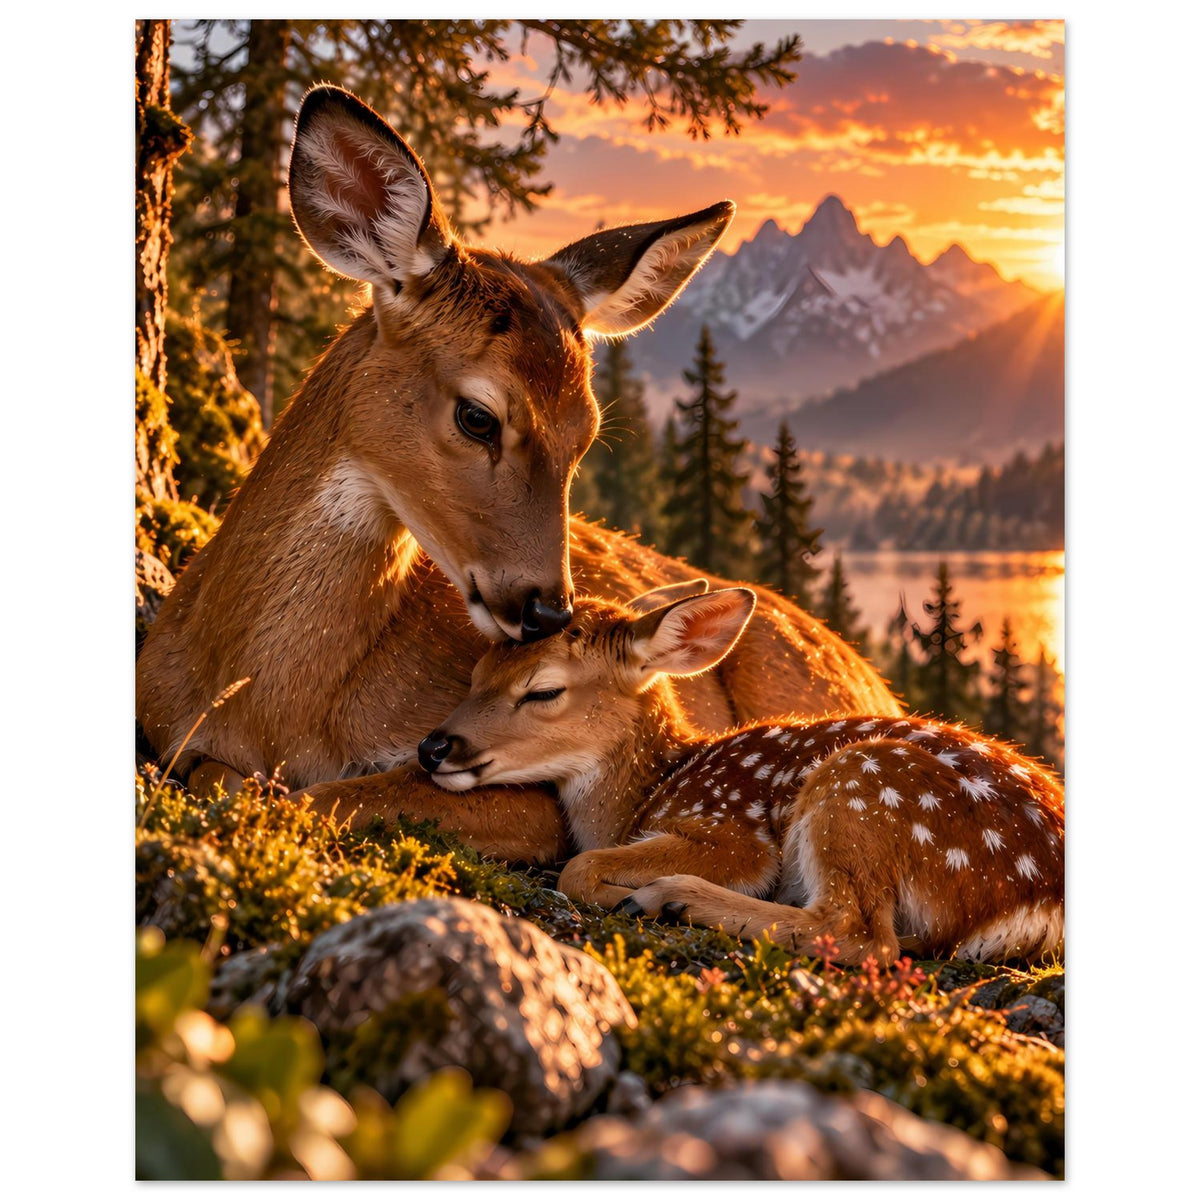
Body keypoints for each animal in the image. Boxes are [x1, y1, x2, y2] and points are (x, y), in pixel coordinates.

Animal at [136, 85, 902, 866]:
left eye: (586, 433)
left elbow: (325, 795)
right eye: (478, 416)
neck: (264, 703)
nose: (547, 610)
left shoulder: (529, 798)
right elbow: (226, 776)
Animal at [418, 583, 1065, 965]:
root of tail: (1039, 899)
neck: (648, 790)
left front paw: (621, 890)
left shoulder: (732, 830)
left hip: (861, 785)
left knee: (861, 934)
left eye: (544, 690)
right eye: (477, 671)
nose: (433, 747)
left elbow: (580, 865)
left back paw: (667, 898)